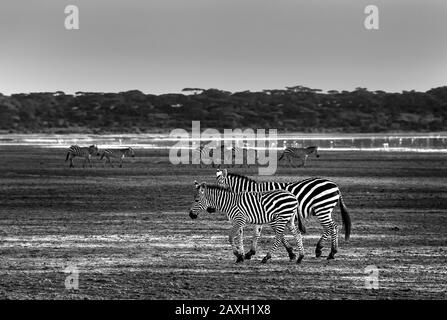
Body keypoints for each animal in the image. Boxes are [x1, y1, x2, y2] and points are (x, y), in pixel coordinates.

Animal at [215, 170, 352, 260]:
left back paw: (326, 251)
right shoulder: (259, 214)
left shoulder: (268, 215)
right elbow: (256, 234)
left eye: (220, 186)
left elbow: (278, 235)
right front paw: (251, 253)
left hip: (322, 208)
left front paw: (291, 253)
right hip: (324, 210)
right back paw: (327, 251)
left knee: (332, 227)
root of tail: (335, 186)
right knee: (332, 227)